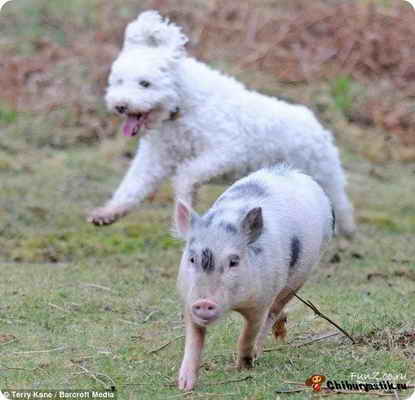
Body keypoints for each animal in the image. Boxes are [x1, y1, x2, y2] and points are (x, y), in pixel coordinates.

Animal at [88, 10, 358, 238]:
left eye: (145, 83)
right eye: (118, 81)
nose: (120, 105)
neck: (181, 105)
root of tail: (313, 122)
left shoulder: (227, 151)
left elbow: (186, 174)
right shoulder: (155, 157)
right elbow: (133, 185)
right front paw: (108, 213)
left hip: (325, 174)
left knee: (341, 204)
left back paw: (345, 230)